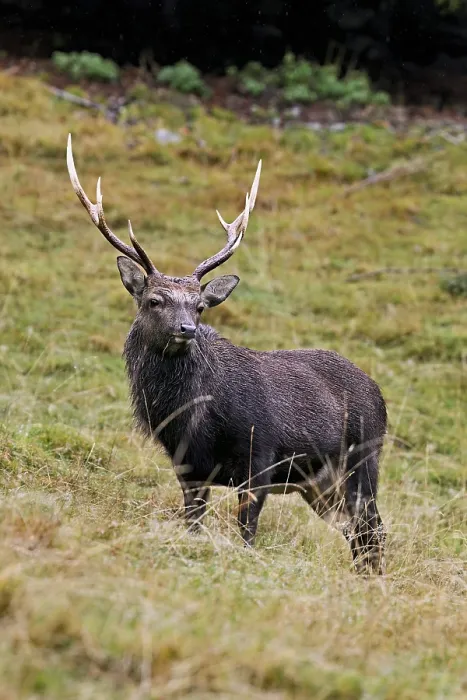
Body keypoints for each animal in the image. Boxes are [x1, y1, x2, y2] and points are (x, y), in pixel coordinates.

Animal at [66, 134, 387, 574]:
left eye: (199, 306)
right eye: (154, 300)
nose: (186, 329)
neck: (195, 419)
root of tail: (379, 395)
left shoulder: (261, 459)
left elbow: (247, 533)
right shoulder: (188, 468)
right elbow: (192, 524)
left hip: (363, 457)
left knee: (373, 527)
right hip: (321, 483)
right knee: (356, 529)